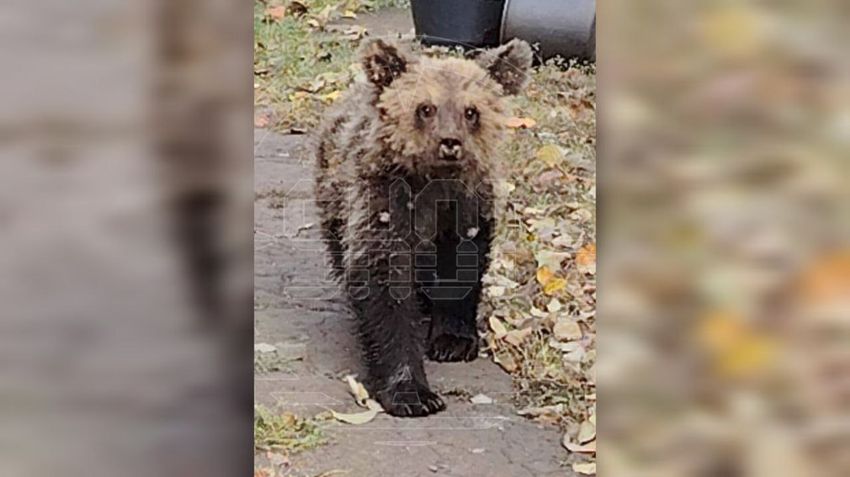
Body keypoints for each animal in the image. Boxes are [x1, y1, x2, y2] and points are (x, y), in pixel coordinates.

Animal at [314, 39, 528, 414]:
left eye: (471, 111)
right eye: (425, 107)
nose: (450, 142)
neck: (433, 184)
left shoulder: (466, 207)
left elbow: (461, 269)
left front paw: (452, 341)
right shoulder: (384, 204)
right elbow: (385, 286)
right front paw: (412, 392)